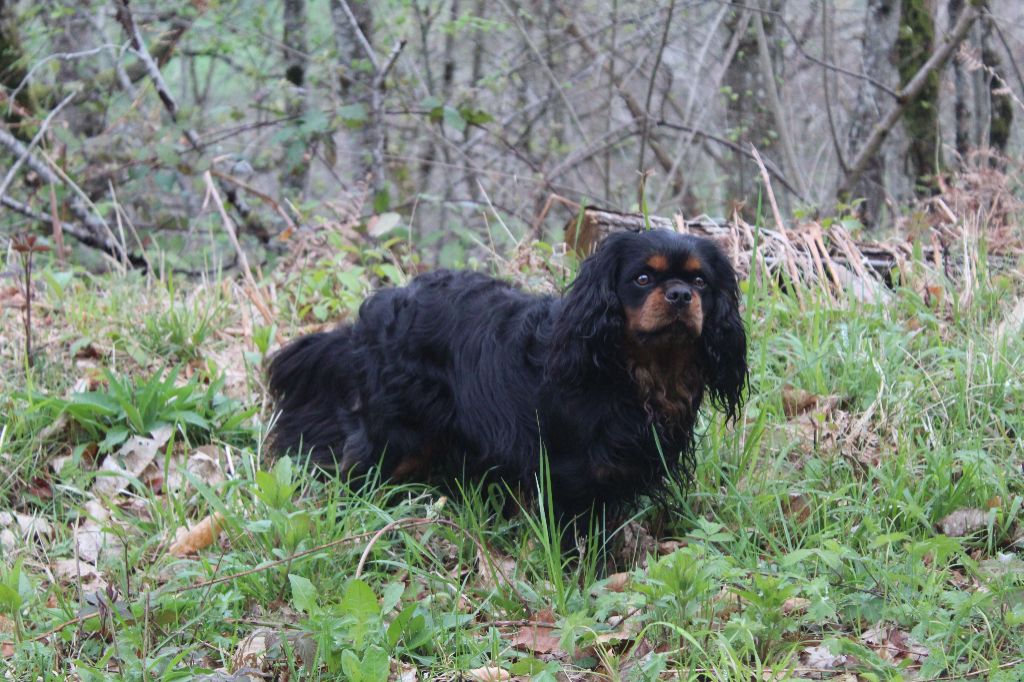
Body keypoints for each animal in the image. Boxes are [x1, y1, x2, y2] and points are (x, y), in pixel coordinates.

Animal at [268, 228, 749, 532]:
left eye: (700, 281)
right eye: (643, 278)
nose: (680, 295)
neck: (635, 369)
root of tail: (382, 307)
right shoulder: (567, 475)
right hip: (397, 435)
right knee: (357, 470)